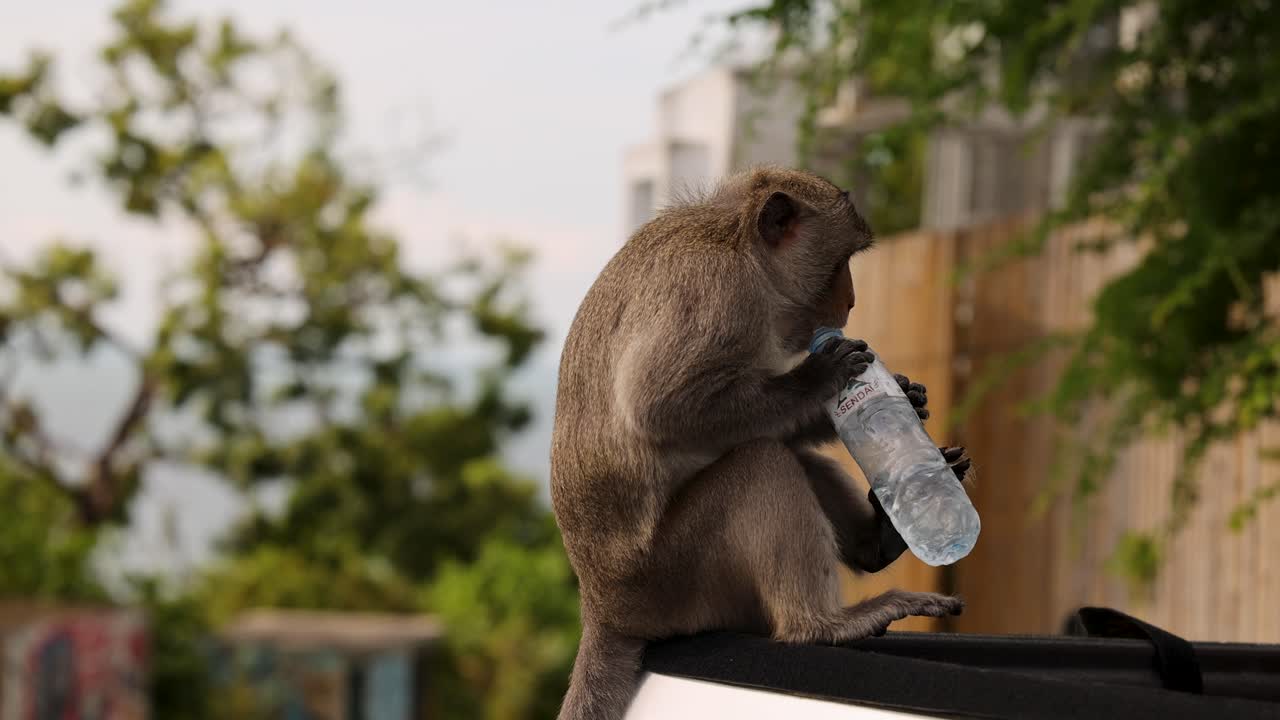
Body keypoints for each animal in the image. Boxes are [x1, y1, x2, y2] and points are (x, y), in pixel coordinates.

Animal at [549, 166, 973, 720]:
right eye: (842, 261)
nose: (851, 300)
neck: (740, 244)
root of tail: (602, 609)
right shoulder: (719, 295)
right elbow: (659, 405)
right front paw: (820, 376)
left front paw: (905, 393)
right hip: (674, 580)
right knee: (761, 462)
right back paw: (822, 627)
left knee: (780, 450)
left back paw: (878, 541)